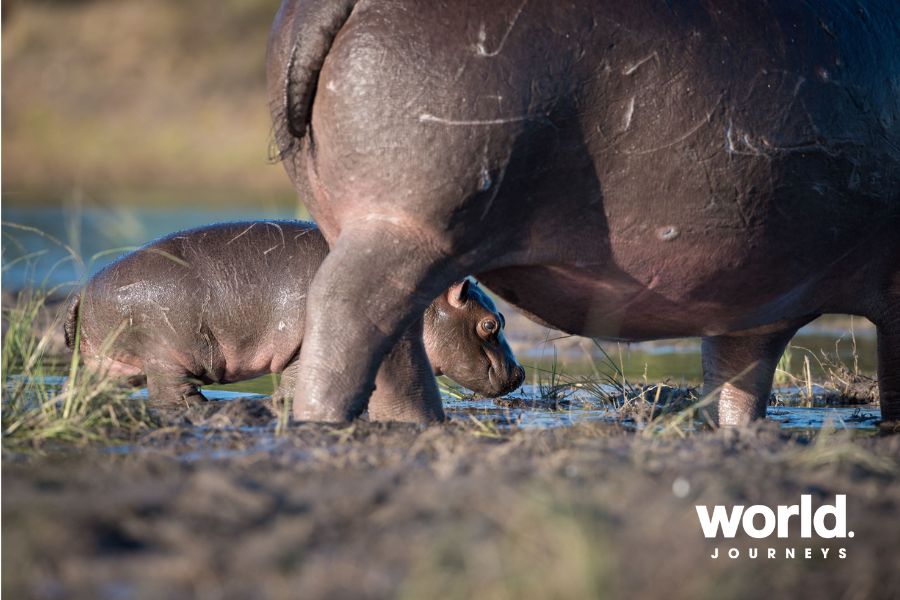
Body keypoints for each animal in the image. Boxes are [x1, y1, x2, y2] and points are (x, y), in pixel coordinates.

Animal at [65, 221, 524, 418]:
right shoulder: (306, 346)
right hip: (164, 348)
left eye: (502, 317)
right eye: (490, 324)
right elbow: (297, 381)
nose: (519, 373)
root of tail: (82, 289)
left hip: (114, 362)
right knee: (171, 393)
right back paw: (206, 406)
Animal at [267, 0, 900, 425]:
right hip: (409, 225)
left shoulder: (750, 302)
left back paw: (419, 426)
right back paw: (325, 425)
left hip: (365, 221)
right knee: (346, 314)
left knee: (396, 339)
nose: (518, 375)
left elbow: (735, 384)